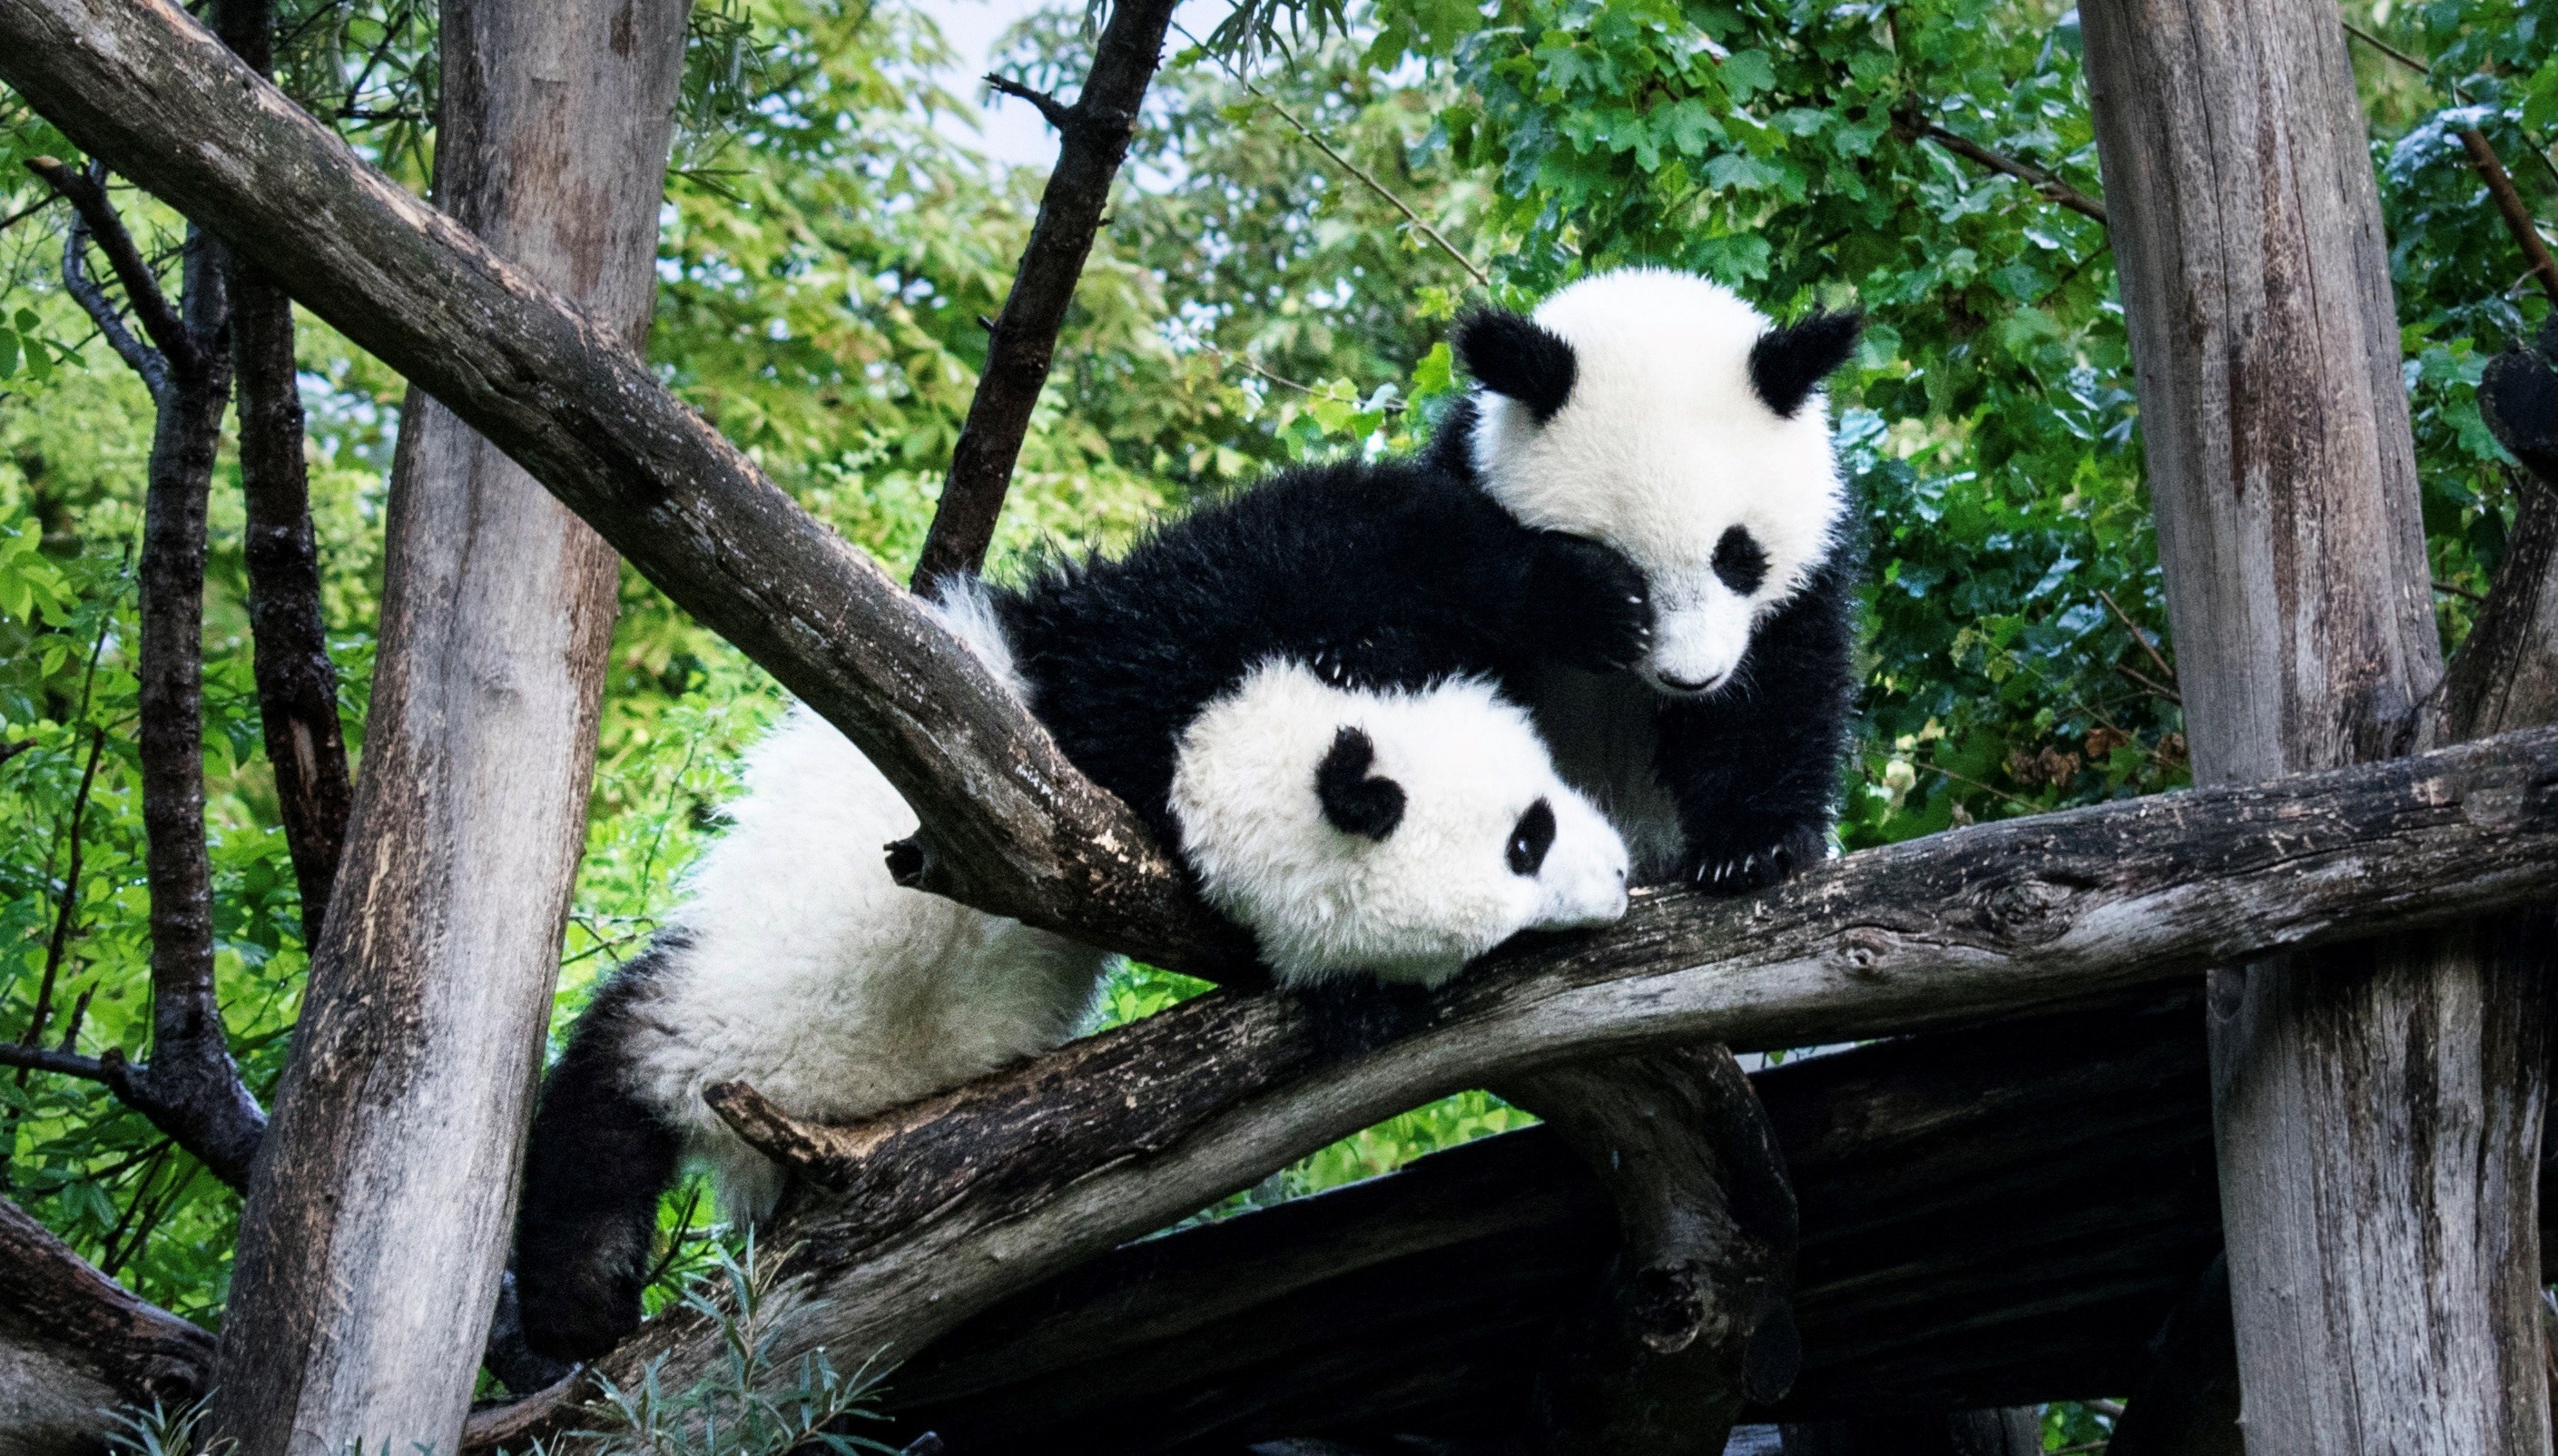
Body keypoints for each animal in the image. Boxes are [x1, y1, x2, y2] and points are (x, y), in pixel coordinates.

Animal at [510, 618, 1629, 1363]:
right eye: (1527, 837)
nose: (1618, 881)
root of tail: (810, 1112)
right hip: (724, 1008)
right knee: (598, 1122)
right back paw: (569, 1316)